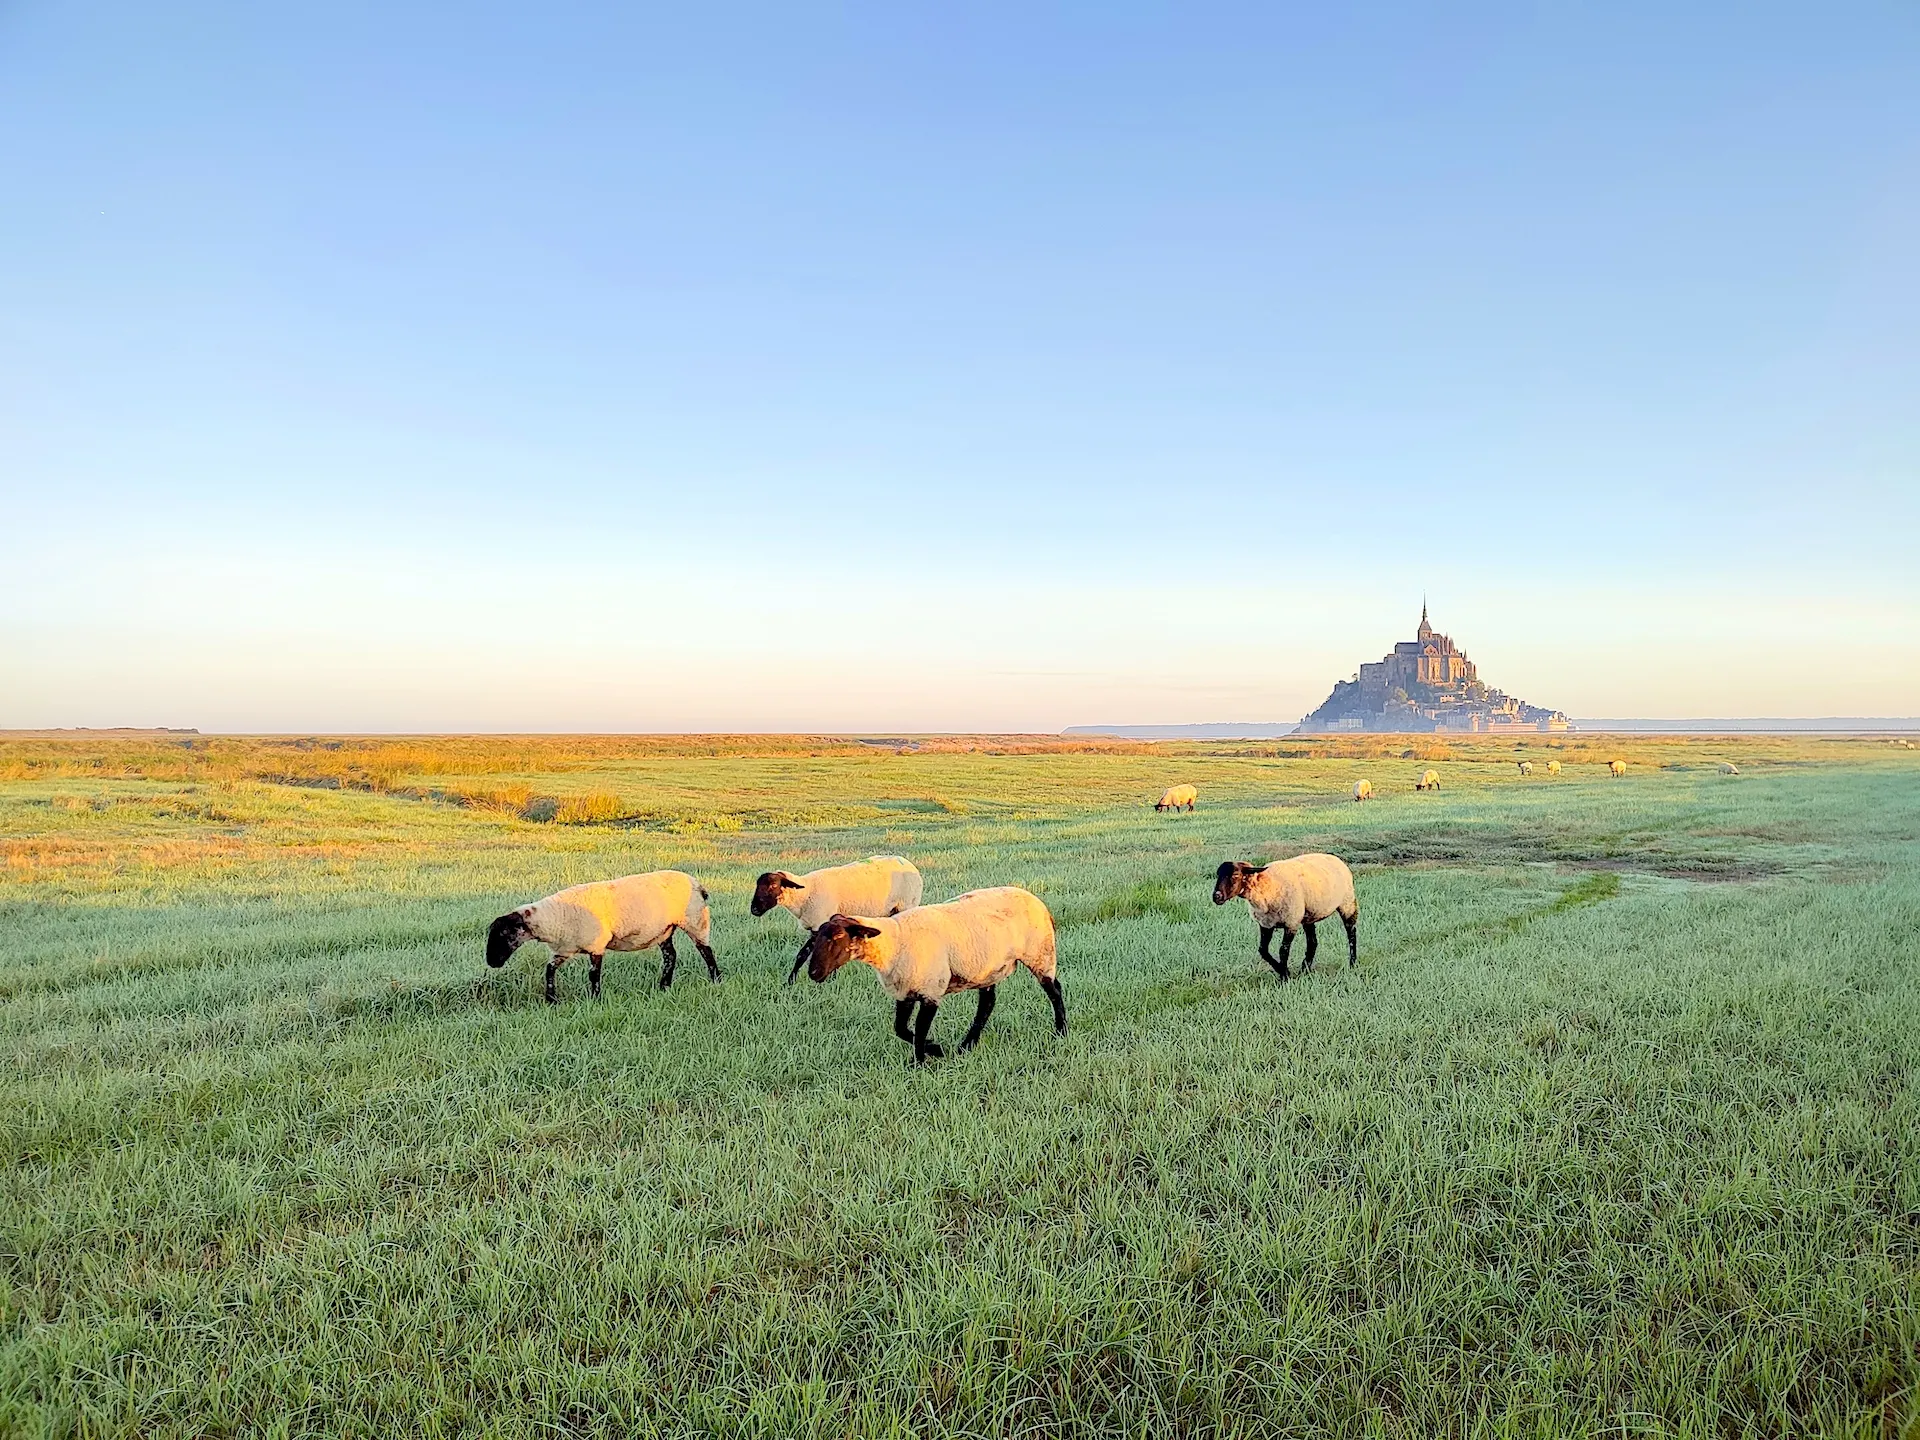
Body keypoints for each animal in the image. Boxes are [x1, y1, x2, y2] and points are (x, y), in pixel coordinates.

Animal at [486, 870, 718, 1002]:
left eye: (504, 933)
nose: (491, 962)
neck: (557, 915)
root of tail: (697, 884)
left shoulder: (596, 945)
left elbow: (593, 975)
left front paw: (595, 999)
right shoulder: (564, 950)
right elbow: (549, 970)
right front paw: (551, 999)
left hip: (695, 920)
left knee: (706, 952)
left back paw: (716, 980)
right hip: (664, 930)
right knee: (671, 956)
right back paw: (664, 986)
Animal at [752, 855, 923, 984]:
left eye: (773, 885)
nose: (754, 909)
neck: (805, 894)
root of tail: (910, 864)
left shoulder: (819, 923)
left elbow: (804, 955)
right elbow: (804, 955)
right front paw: (789, 983)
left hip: (907, 904)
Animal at [806, 887, 1064, 1065]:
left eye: (839, 937)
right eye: (816, 937)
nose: (813, 973)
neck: (895, 942)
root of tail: (1040, 904)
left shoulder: (931, 991)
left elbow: (920, 1030)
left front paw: (920, 1062)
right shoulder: (906, 991)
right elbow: (901, 1029)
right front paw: (934, 1049)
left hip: (1041, 954)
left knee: (1055, 991)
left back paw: (1061, 1032)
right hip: (987, 968)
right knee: (987, 1004)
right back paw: (966, 1046)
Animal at [1213, 853, 1358, 981]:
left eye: (1235, 875)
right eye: (1218, 875)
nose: (1216, 896)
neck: (1266, 888)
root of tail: (1336, 859)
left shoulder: (1291, 922)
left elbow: (1283, 950)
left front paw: (1284, 976)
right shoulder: (1266, 924)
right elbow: (1263, 950)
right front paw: (1283, 971)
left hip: (1347, 903)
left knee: (1351, 933)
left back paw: (1352, 964)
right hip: (1307, 915)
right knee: (1313, 942)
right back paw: (1305, 969)